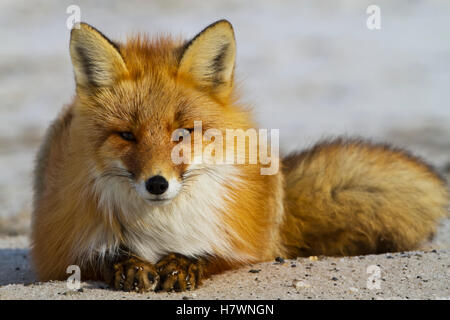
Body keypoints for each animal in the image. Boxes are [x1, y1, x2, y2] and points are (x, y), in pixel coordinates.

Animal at [30, 20, 446, 292]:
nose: (157, 184)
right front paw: (128, 264)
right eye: (127, 135)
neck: (159, 225)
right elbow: (101, 256)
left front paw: (182, 264)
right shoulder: (60, 247)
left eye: (183, 132)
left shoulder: (242, 244)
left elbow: (213, 255)